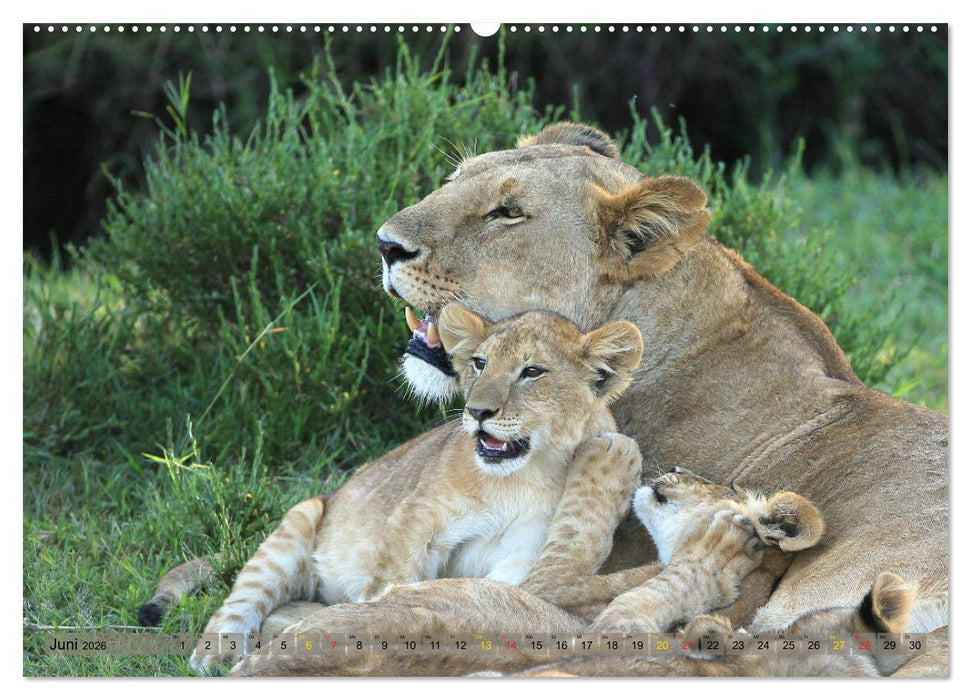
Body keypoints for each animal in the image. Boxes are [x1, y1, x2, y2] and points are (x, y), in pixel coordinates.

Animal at [186, 304, 646, 672]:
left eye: (532, 372)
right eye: (480, 363)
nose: (477, 411)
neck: (518, 479)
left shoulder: (524, 553)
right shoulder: (418, 515)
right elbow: (394, 577)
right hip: (297, 524)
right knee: (241, 601)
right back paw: (215, 654)